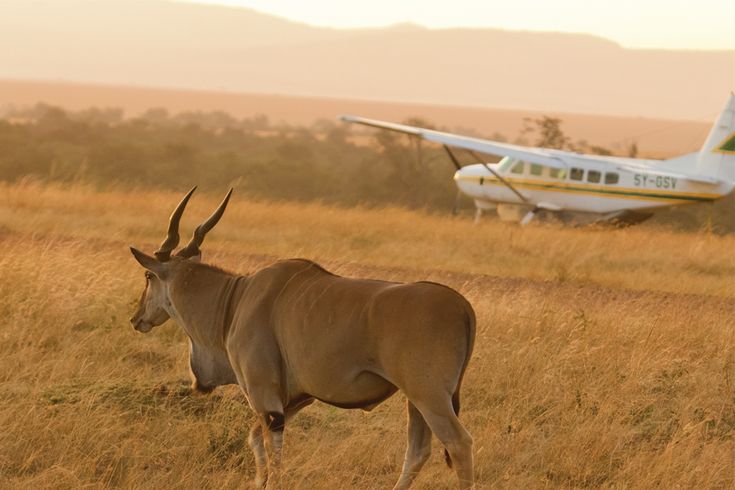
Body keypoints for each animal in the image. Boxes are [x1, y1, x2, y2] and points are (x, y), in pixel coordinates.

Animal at [129, 187, 478, 486]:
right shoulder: (296, 398)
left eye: (148, 275)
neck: (236, 299)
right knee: (418, 451)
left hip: (429, 396)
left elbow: (273, 452)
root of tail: (462, 306)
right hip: (416, 400)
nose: (136, 318)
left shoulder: (266, 397)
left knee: (459, 443)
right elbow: (255, 439)